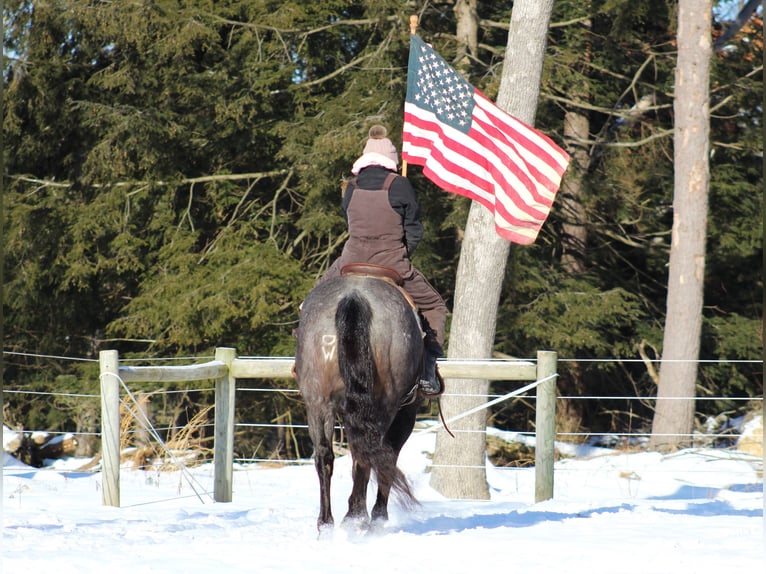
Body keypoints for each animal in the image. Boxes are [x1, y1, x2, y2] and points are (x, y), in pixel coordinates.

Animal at [294, 272, 426, 536]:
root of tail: (354, 298)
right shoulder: (406, 413)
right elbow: (388, 457)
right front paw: (378, 516)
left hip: (318, 402)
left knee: (325, 455)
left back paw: (327, 523)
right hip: (385, 405)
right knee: (371, 454)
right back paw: (357, 517)